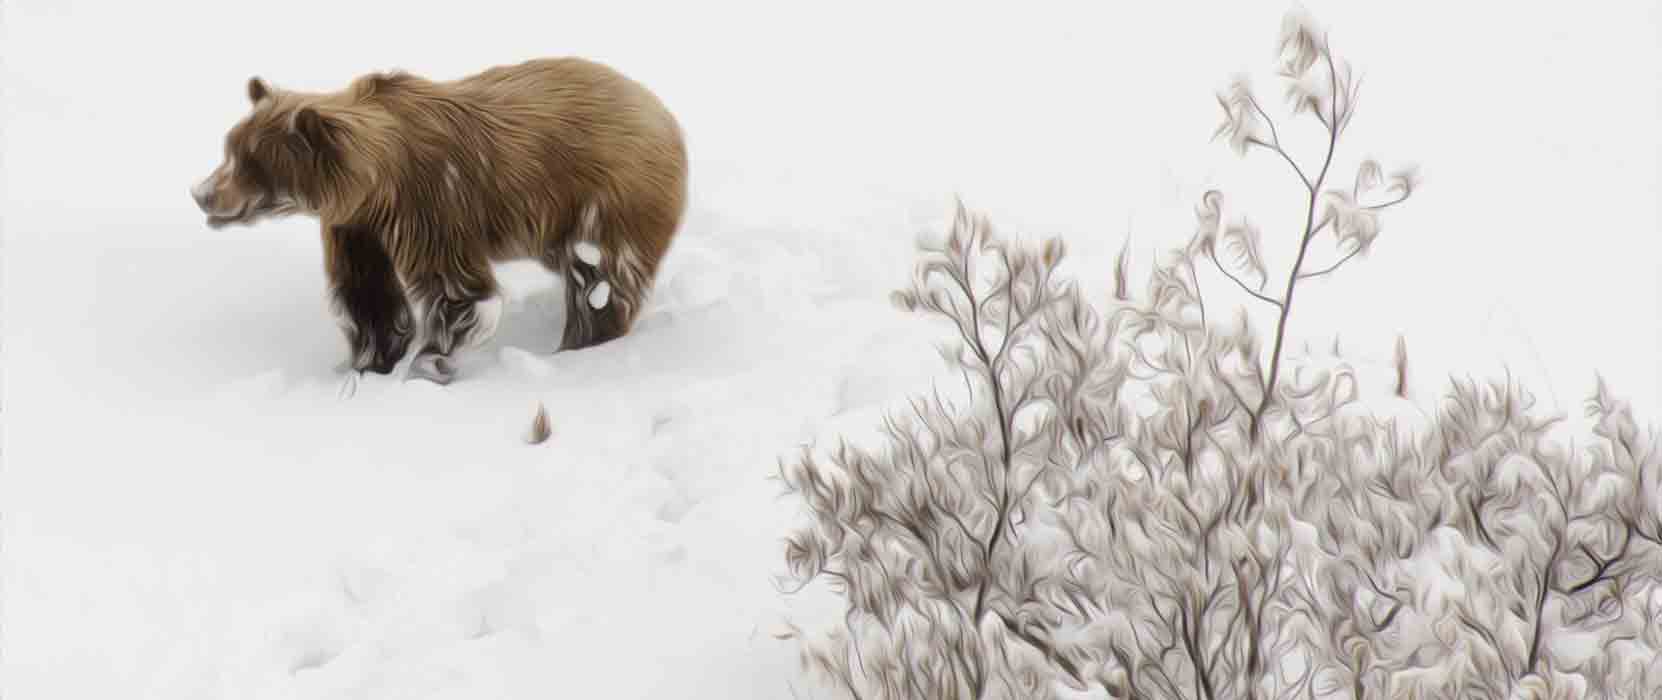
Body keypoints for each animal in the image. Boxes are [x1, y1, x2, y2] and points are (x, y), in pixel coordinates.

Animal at [190, 57, 688, 383]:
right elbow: (366, 295)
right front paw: (372, 360)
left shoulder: (430, 205)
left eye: (253, 161)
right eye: (231, 147)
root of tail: (660, 107)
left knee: (603, 280)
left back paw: (584, 343)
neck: (374, 183)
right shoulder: (356, 228)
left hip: (610, 200)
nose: (203, 194)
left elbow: (455, 287)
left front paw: (429, 361)